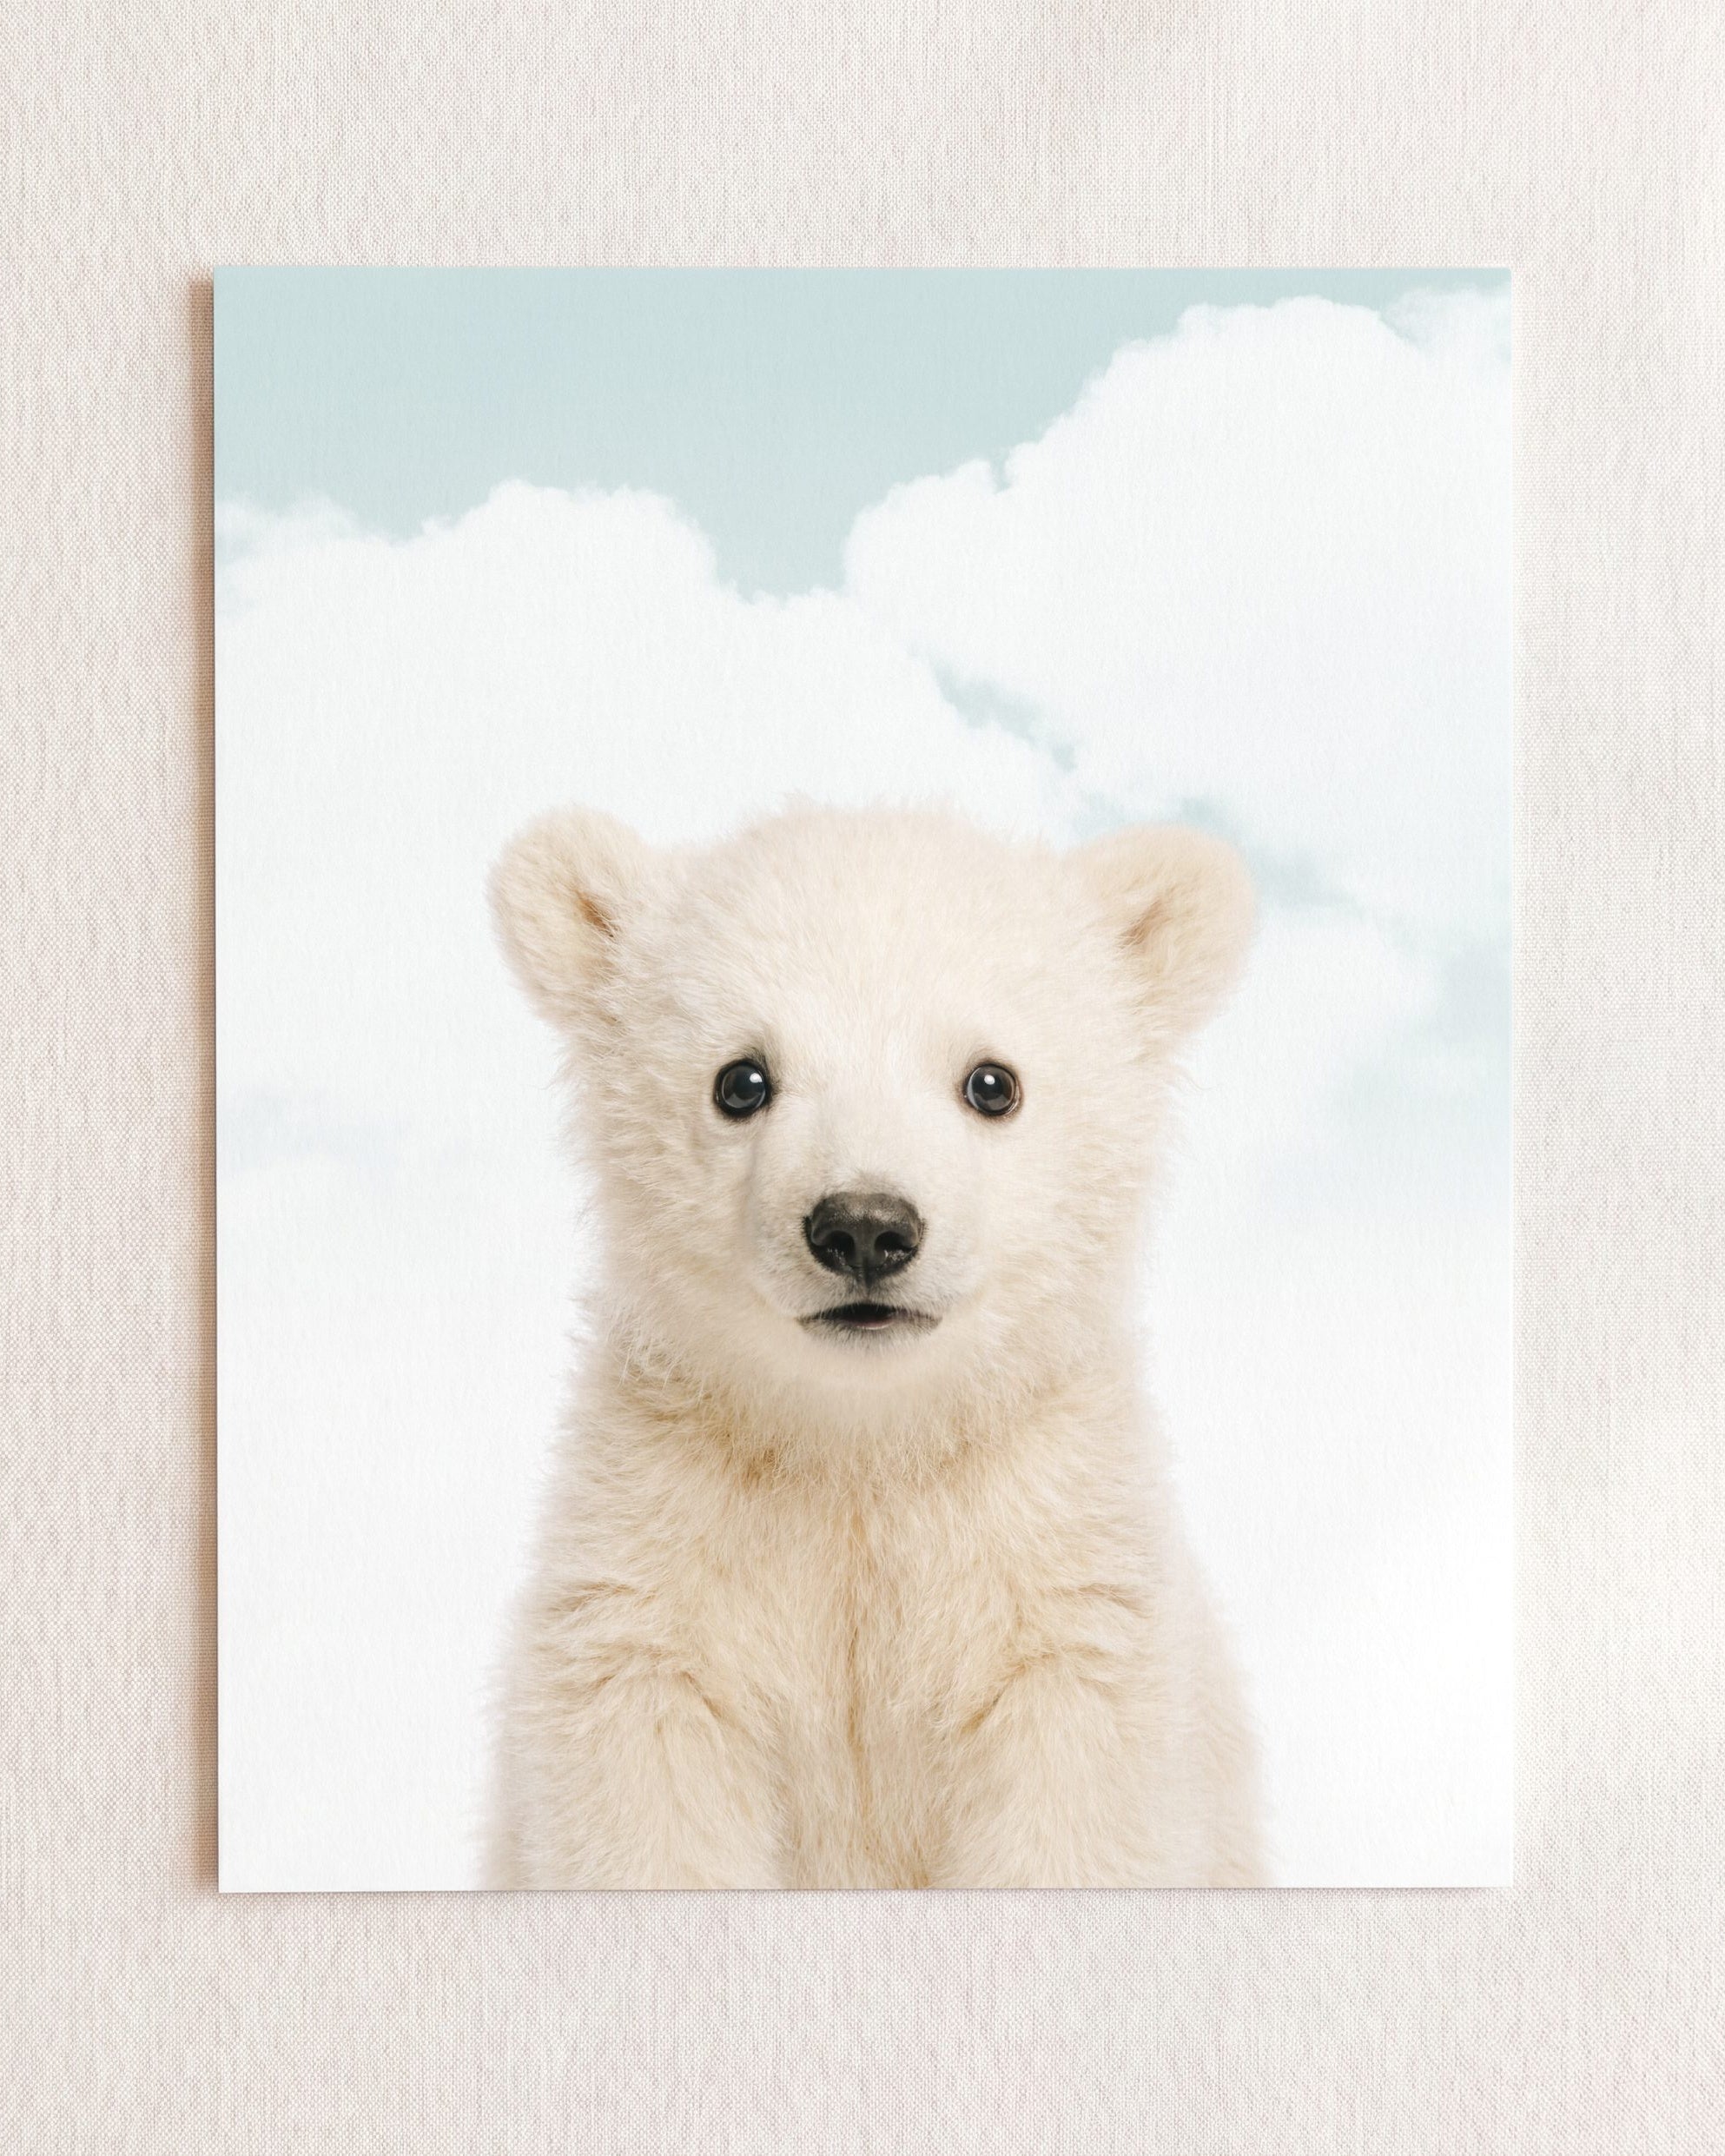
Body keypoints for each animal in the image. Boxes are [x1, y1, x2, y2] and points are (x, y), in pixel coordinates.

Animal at [485, 800, 1264, 1888]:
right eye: (741, 1079)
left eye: (992, 1082)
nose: (863, 1225)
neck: (864, 1445)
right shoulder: (657, 1569)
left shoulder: (1056, 1585)